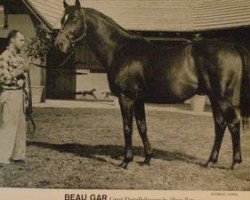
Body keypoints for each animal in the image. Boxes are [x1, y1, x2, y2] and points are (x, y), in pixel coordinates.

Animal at [54, 0, 250, 170]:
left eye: (74, 19)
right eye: (63, 19)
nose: (59, 44)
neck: (120, 50)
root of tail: (232, 46)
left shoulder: (126, 98)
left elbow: (128, 128)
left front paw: (126, 161)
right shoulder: (138, 100)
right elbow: (142, 127)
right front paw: (147, 158)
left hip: (222, 98)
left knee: (233, 123)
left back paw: (235, 163)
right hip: (214, 98)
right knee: (220, 125)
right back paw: (209, 162)